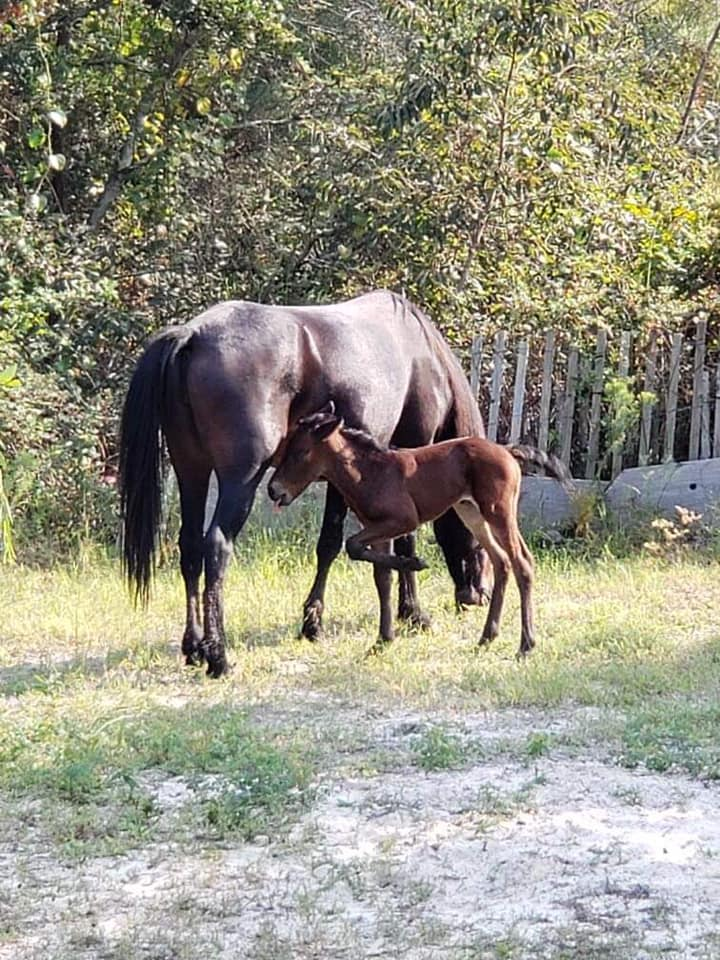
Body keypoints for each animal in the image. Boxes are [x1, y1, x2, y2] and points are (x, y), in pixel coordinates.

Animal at [119, 290, 489, 677]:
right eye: (479, 538)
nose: (476, 595)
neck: (422, 352)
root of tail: (192, 335)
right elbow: (378, 540)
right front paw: (411, 614)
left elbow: (333, 544)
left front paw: (316, 620)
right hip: (240, 480)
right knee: (217, 547)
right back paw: (218, 656)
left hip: (191, 470)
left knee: (190, 546)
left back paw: (194, 648)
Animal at [268, 402, 573, 657]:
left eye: (301, 452)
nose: (273, 490)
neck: (370, 472)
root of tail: (508, 451)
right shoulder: (378, 529)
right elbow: (381, 577)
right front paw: (383, 640)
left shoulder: (401, 521)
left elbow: (353, 546)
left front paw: (415, 562)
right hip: (471, 513)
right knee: (502, 562)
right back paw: (487, 637)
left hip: (498, 511)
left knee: (522, 562)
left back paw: (525, 645)